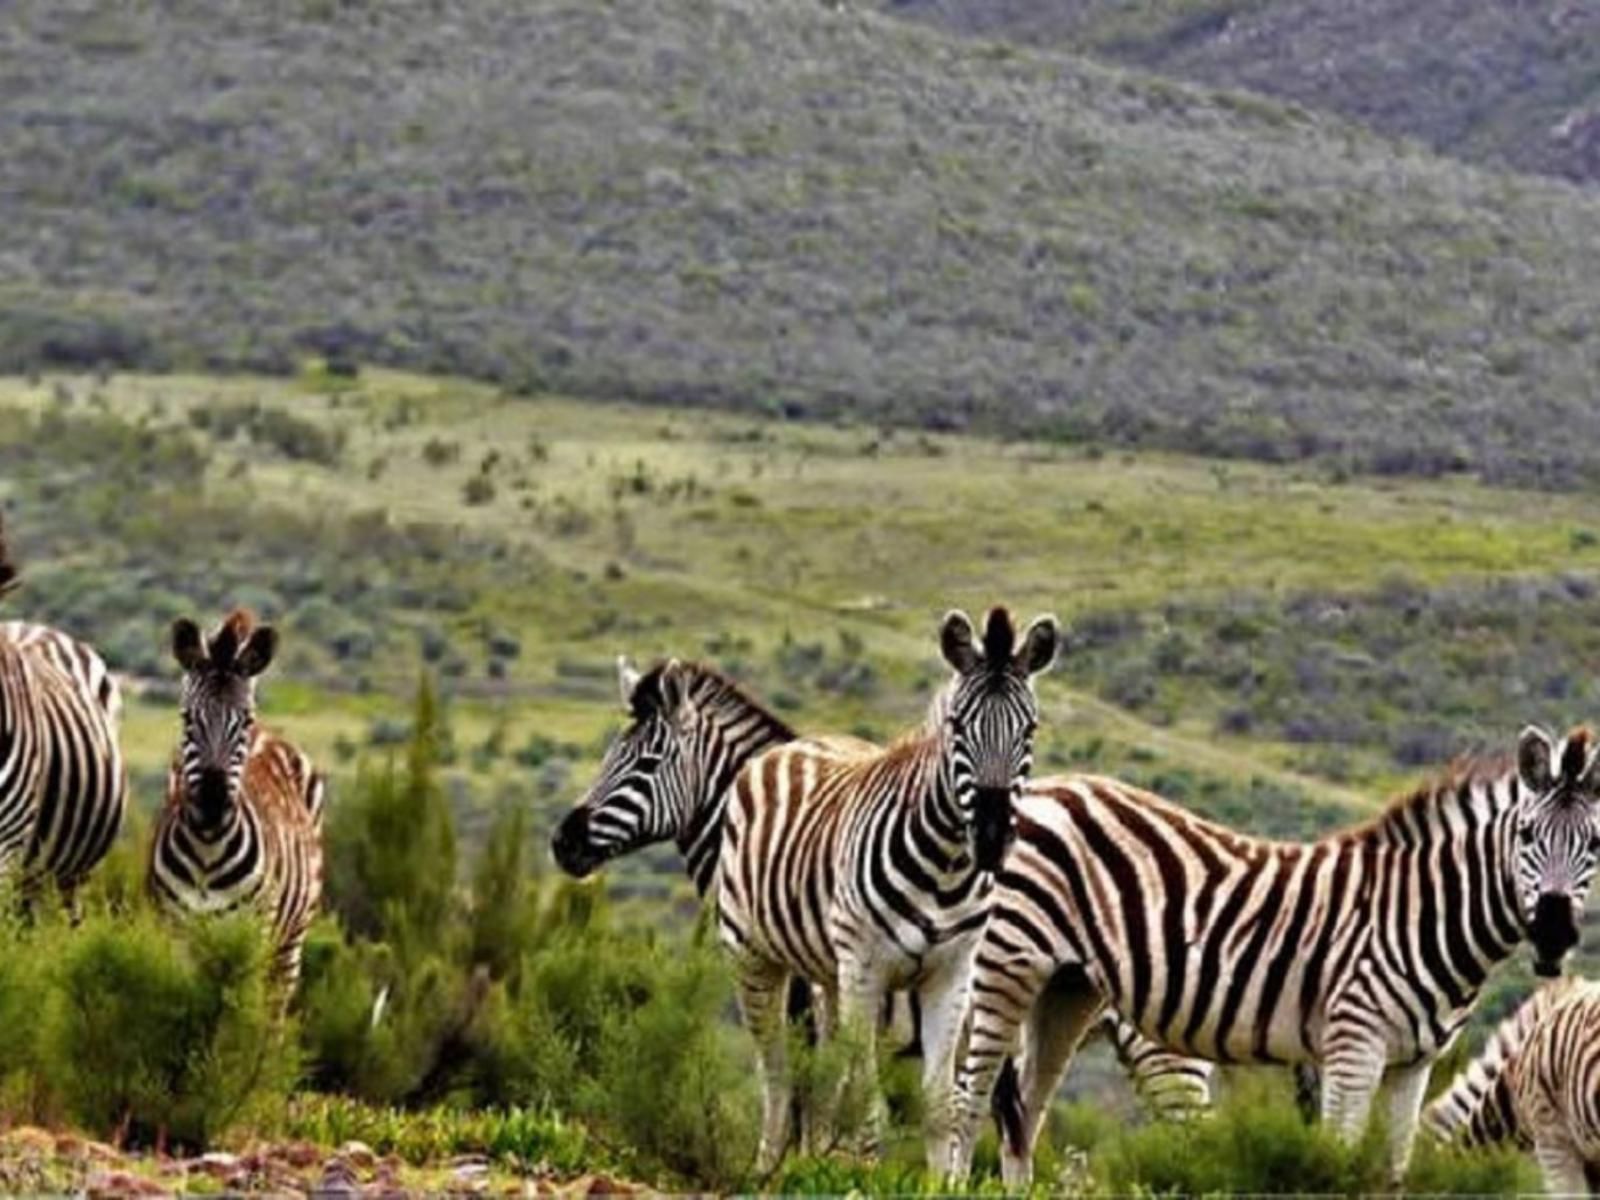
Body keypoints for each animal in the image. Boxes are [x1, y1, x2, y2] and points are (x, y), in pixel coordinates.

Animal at [148, 614, 326, 998]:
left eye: (244, 720)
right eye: (187, 718)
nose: (212, 803)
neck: (207, 852)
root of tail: (269, 733)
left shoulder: (251, 937)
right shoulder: (174, 934)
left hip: (290, 942)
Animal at [720, 604, 1056, 1171]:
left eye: (1028, 729)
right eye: (957, 727)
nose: (991, 839)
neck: (945, 867)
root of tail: (801, 742)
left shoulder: (952, 974)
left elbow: (940, 1103)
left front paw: (940, 1181)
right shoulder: (865, 968)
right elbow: (868, 1099)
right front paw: (869, 1175)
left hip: (829, 972)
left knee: (823, 1070)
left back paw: (811, 1161)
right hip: (754, 954)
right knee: (777, 1072)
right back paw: (765, 1168)